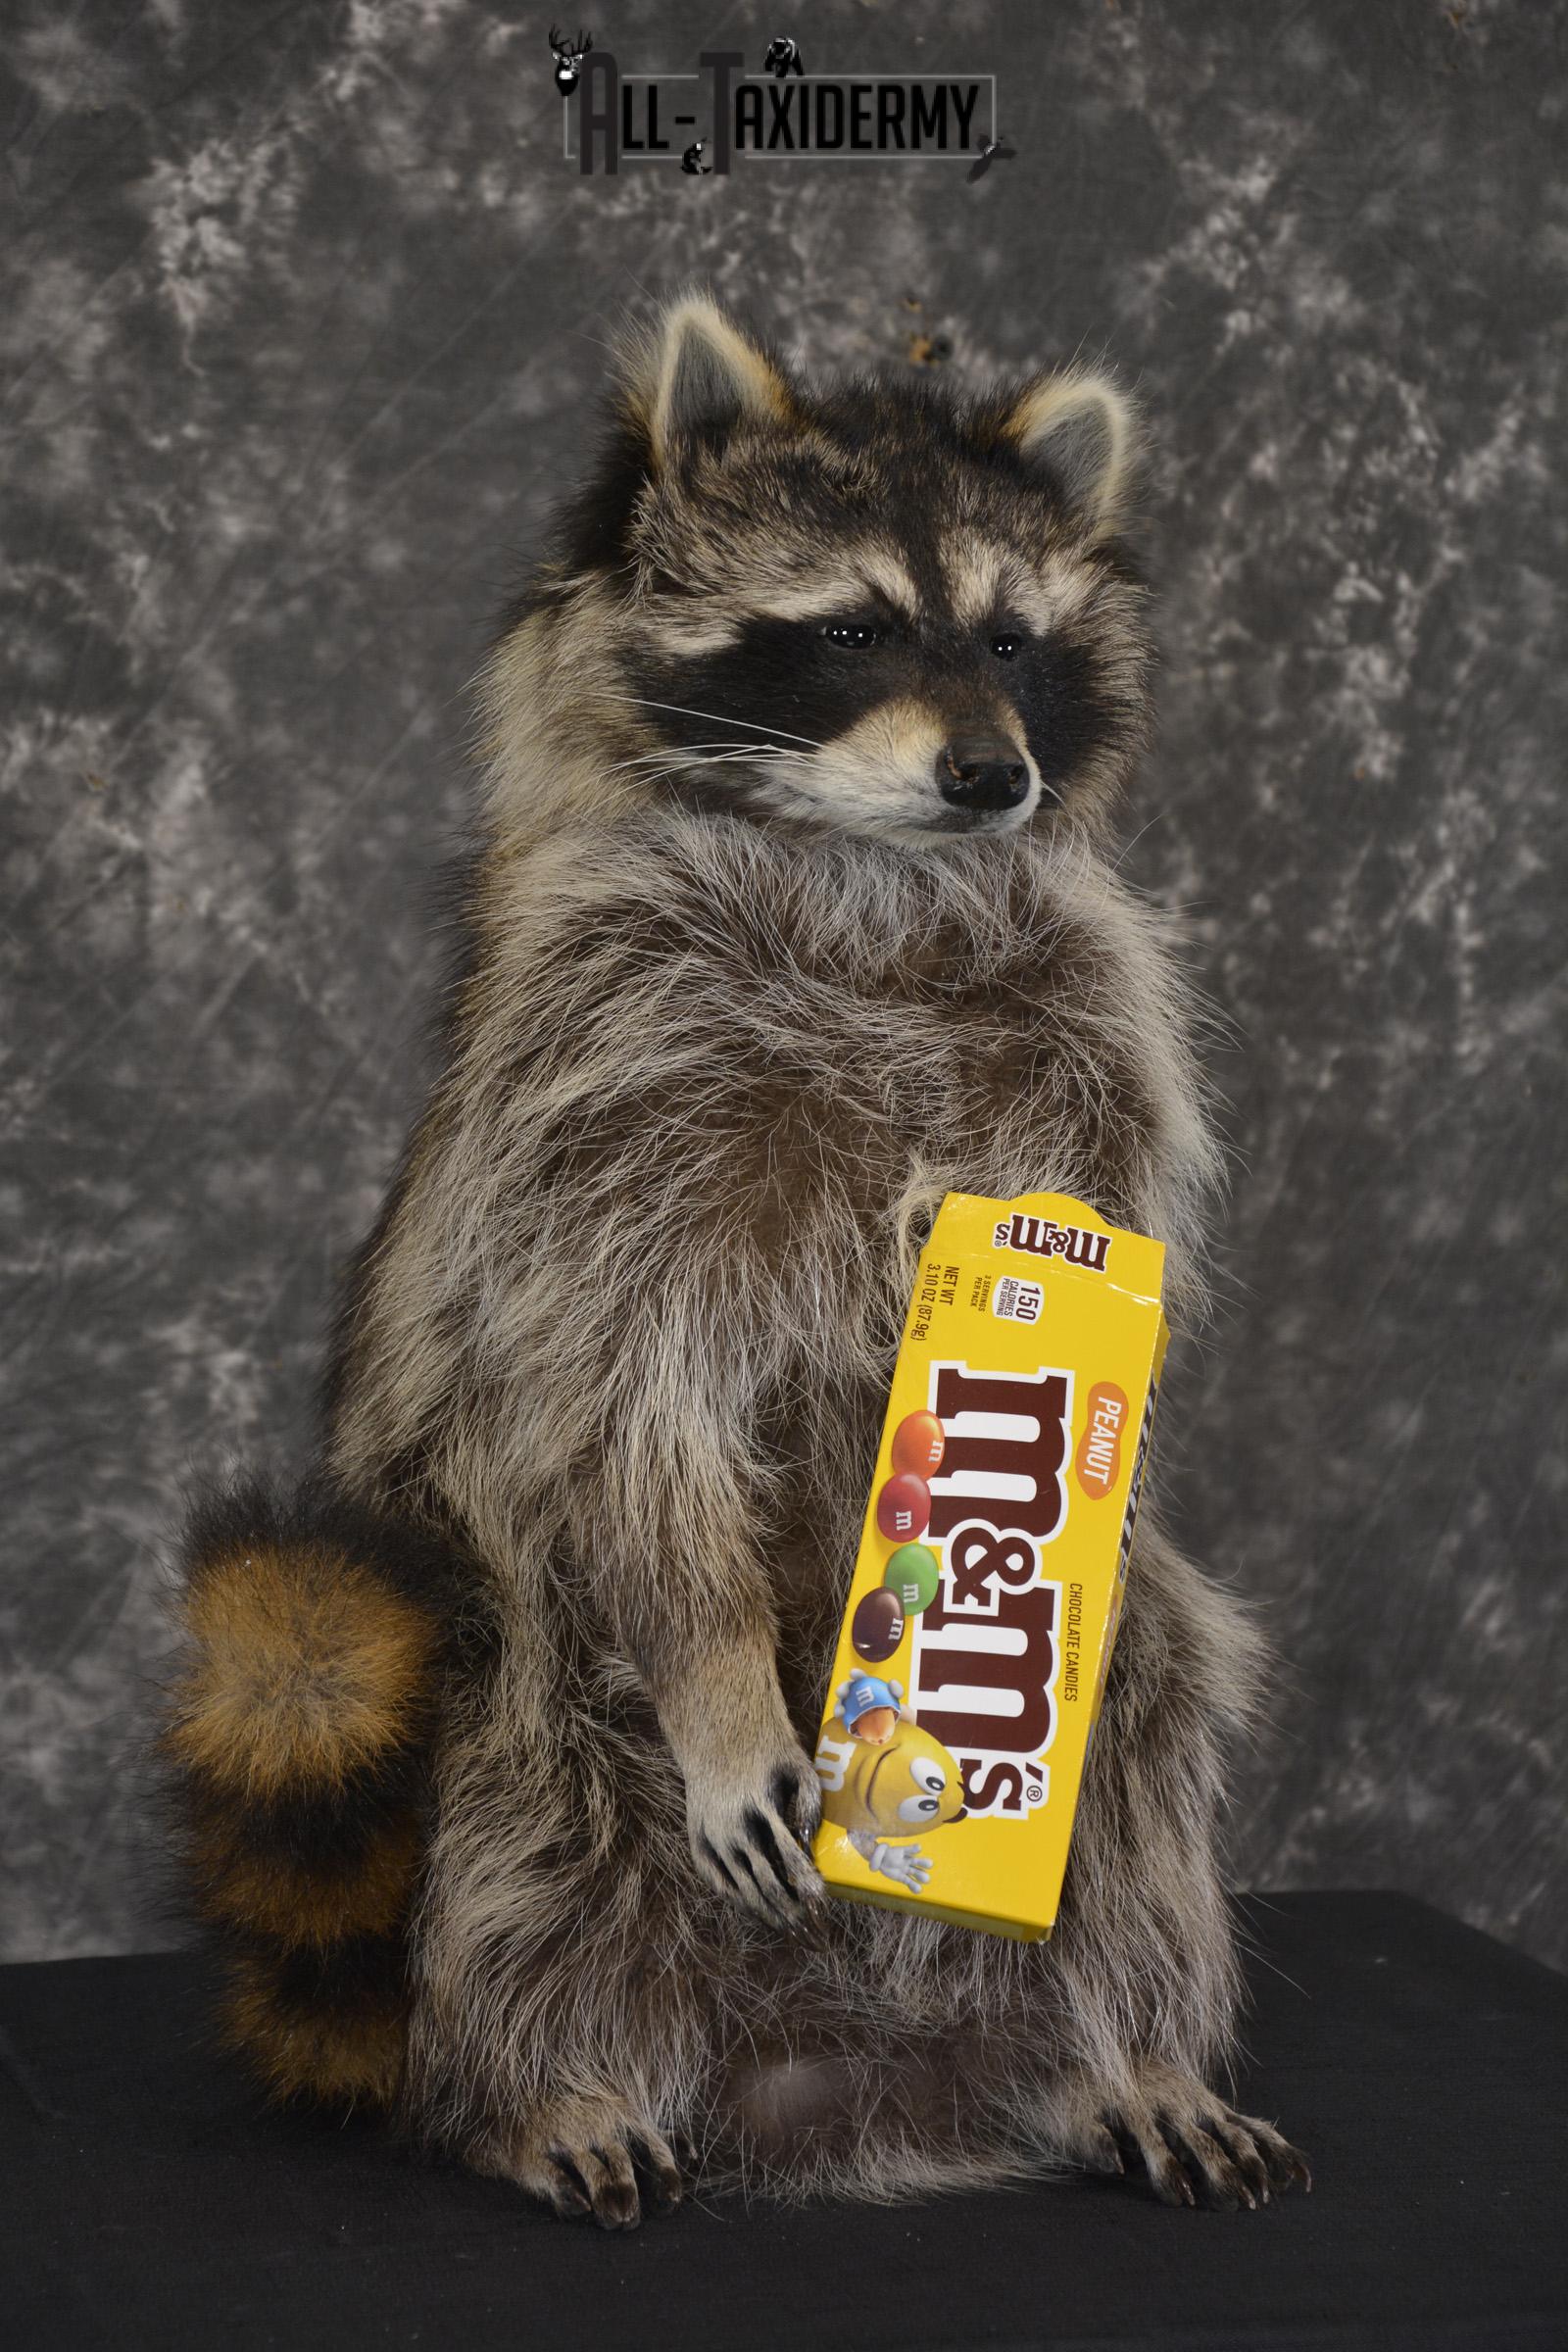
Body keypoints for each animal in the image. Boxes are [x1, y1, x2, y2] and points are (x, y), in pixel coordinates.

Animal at [161, 292, 1310, 2223]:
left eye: (1015, 641)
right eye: (848, 631)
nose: (992, 774)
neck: (863, 874)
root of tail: (836, 2087)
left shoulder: (1089, 1037)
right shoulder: (602, 1074)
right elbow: (629, 1395)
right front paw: (717, 1684)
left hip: (1108, 1763)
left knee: (1148, 1735)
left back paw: (1123, 2048)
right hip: (474, 1626)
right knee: (517, 1771)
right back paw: (531, 2078)